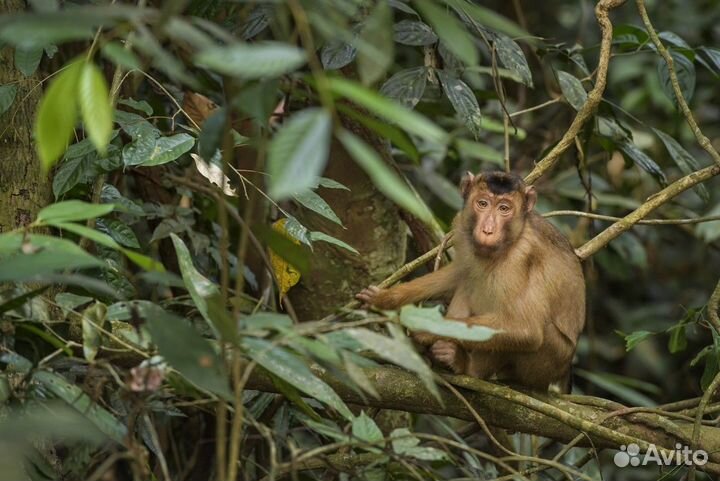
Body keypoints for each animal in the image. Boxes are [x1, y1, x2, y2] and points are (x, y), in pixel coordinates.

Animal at [354, 170, 584, 390]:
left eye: (504, 208)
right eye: (482, 204)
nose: (487, 230)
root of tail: (566, 370)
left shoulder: (519, 259)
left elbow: (525, 330)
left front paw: (426, 328)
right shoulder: (461, 226)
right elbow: (457, 273)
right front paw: (384, 299)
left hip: (549, 361)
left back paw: (466, 367)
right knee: (469, 281)